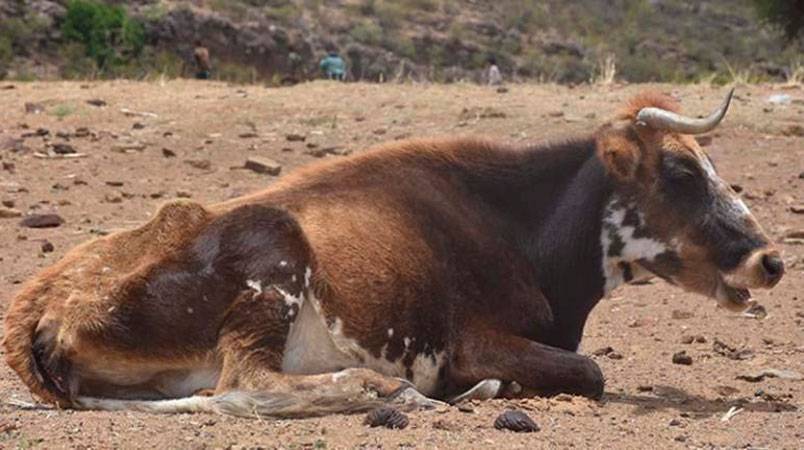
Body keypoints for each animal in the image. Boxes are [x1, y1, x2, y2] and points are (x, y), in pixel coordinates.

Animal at [3, 89, 784, 419]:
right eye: (680, 171)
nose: (769, 260)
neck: (518, 229)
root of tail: (43, 302)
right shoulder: (477, 341)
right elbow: (590, 372)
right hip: (272, 260)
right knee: (247, 384)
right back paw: (383, 391)